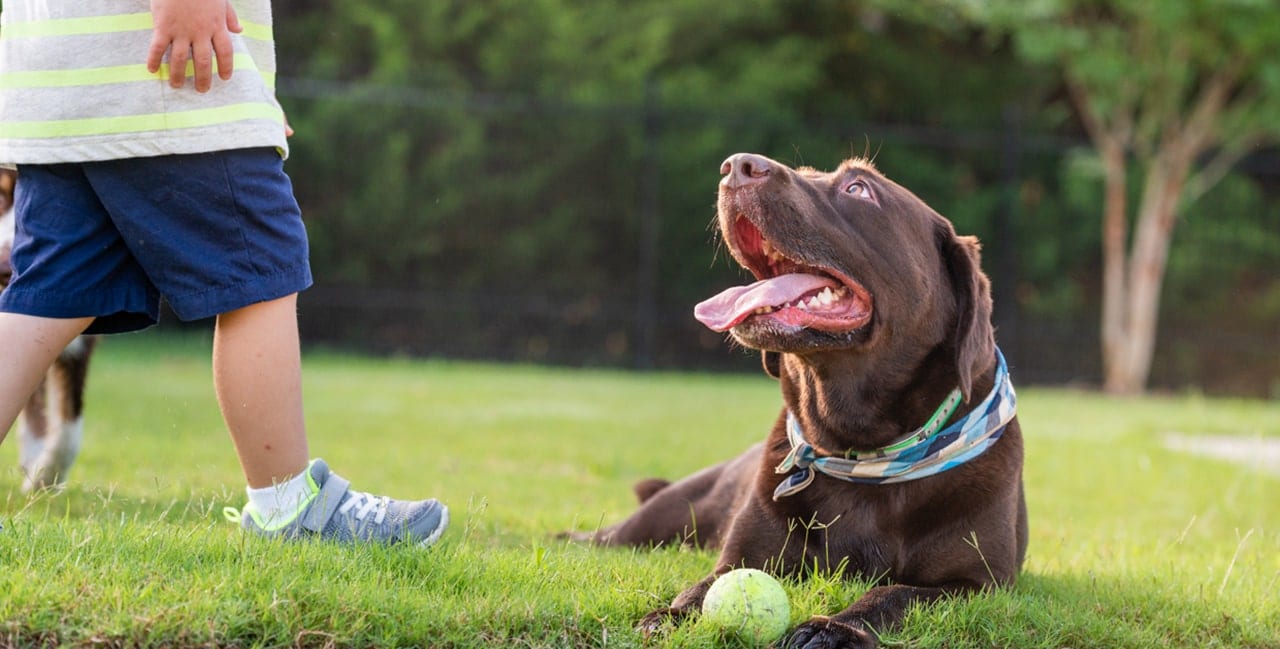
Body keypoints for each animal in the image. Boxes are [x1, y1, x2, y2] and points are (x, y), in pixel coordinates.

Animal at [581, 154, 1029, 647]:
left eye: (858, 188)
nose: (737, 166)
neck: (857, 449)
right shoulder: (743, 555)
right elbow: (706, 585)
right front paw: (674, 614)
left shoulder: (977, 585)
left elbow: (895, 593)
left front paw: (832, 628)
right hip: (661, 517)